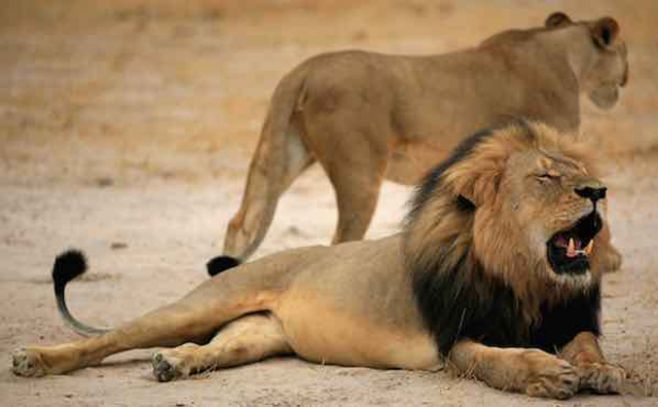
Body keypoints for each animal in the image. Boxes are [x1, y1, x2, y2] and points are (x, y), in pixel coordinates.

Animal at [13, 122, 627, 399]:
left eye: (579, 171)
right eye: (546, 177)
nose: (599, 191)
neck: (524, 277)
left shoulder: (567, 318)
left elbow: (587, 345)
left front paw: (602, 371)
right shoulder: (455, 339)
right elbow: (500, 361)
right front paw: (547, 374)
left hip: (254, 335)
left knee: (209, 348)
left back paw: (174, 364)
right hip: (200, 305)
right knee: (109, 339)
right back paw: (35, 360)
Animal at [220, 12, 628, 269]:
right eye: (624, 51)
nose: (625, 79)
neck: (566, 54)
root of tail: (303, 69)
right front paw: (606, 259)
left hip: (284, 154)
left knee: (242, 222)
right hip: (359, 173)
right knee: (341, 239)